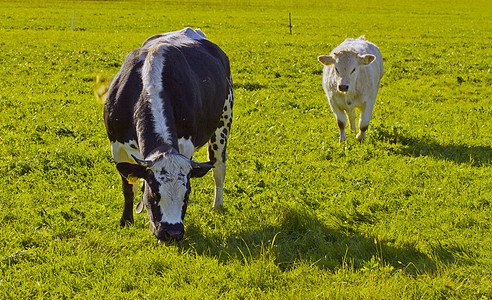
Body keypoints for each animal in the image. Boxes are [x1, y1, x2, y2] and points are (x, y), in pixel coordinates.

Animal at [103, 28, 234, 243]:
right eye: (155, 194)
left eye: (186, 195)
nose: (172, 233)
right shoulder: (117, 146)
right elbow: (129, 187)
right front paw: (127, 221)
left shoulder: (186, 146)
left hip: (223, 121)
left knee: (219, 168)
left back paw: (218, 206)